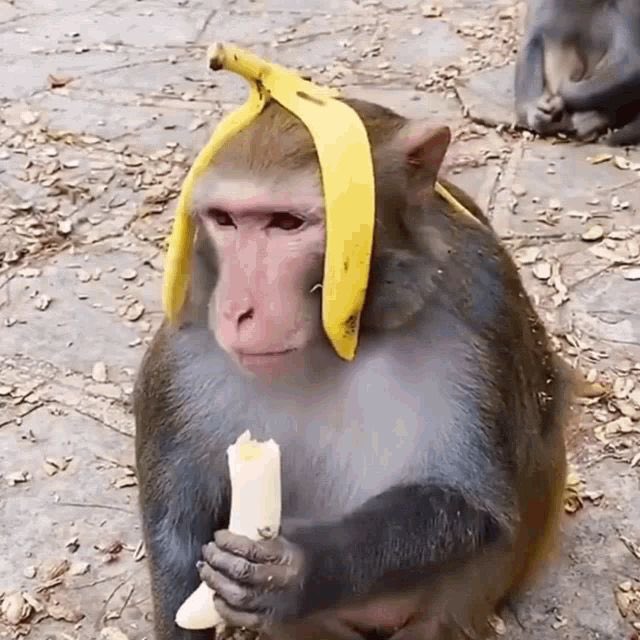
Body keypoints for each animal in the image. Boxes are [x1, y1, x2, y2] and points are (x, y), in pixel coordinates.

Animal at [133, 96, 574, 640]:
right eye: (225, 220)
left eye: (285, 223)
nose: (237, 310)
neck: (336, 344)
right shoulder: (186, 345)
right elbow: (175, 522)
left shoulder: (482, 317)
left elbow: (474, 501)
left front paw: (298, 572)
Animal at [514, 0, 640, 146]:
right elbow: (533, 38)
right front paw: (533, 110)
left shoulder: (630, 4)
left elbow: (631, 63)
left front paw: (562, 98)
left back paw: (592, 119)